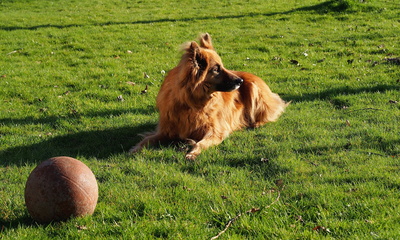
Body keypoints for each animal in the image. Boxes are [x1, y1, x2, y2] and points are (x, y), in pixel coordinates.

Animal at [130, 32, 286, 159]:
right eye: (216, 69)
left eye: (222, 66)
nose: (240, 81)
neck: (191, 103)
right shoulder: (166, 131)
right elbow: (146, 140)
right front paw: (135, 149)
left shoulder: (215, 131)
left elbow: (200, 143)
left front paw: (192, 153)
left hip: (254, 90)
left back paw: (256, 123)